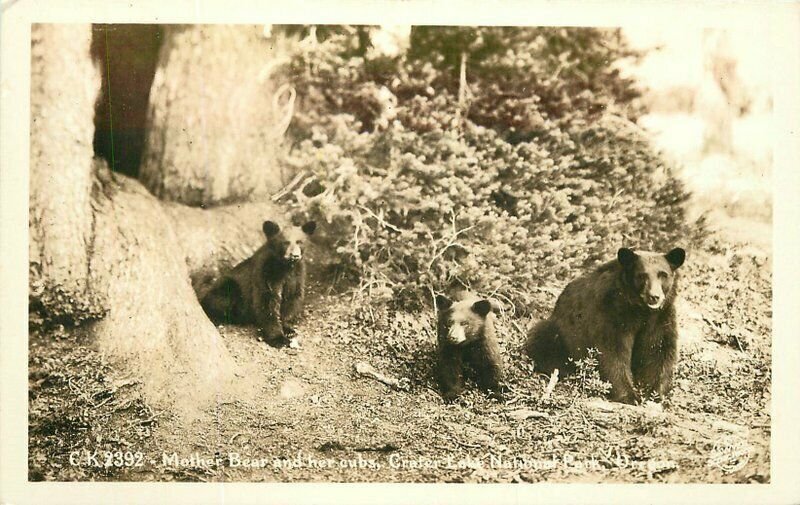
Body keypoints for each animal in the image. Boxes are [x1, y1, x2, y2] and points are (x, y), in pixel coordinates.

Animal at [524, 246, 688, 404]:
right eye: (642, 275)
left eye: (663, 275)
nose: (654, 296)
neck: (640, 310)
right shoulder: (610, 311)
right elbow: (612, 351)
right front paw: (630, 396)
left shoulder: (660, 318)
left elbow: (658, 350)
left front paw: (655, 394)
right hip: (557, 331)